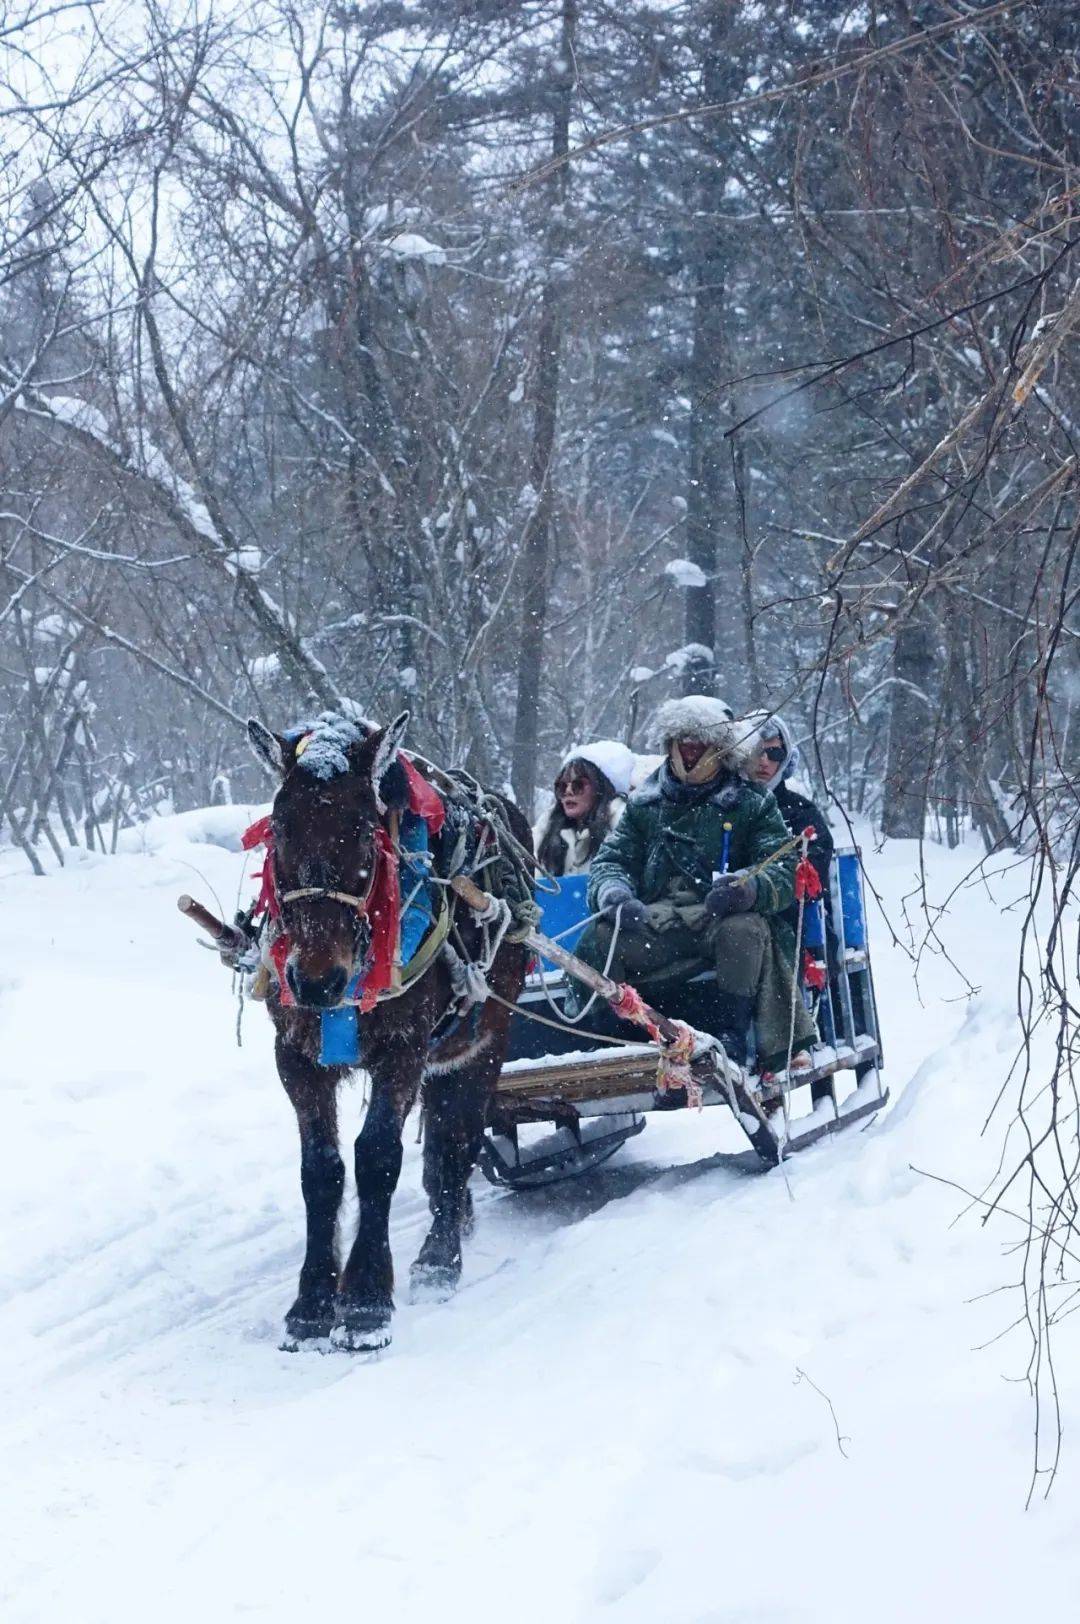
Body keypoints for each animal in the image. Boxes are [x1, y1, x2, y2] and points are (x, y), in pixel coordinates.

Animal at [248, 704, 526, 1351]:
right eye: (278, 830)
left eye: (361, 832)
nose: (317, 981)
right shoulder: (294, 1056)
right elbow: (321, 1171)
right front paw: (312, 1302)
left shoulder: (402, 1050)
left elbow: (377, 1157)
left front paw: (367, 1298)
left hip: (485, 1039)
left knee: (459, 1139)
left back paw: (440, 1256)